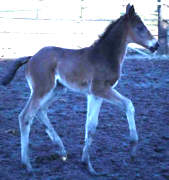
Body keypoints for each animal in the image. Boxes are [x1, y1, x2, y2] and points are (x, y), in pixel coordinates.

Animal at [1, 4, 158, 176]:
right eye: (140, 27)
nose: (156, 45)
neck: (104, 56)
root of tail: (31, 57)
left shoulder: (94, 95)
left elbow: (91, 125)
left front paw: (87, 163)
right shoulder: (100, 89)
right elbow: (126, 105)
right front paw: (131, 149)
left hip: (57, 90)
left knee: (41, 111)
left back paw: (62, 151)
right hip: (42, 89)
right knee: (25, 116)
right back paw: (27, 164)